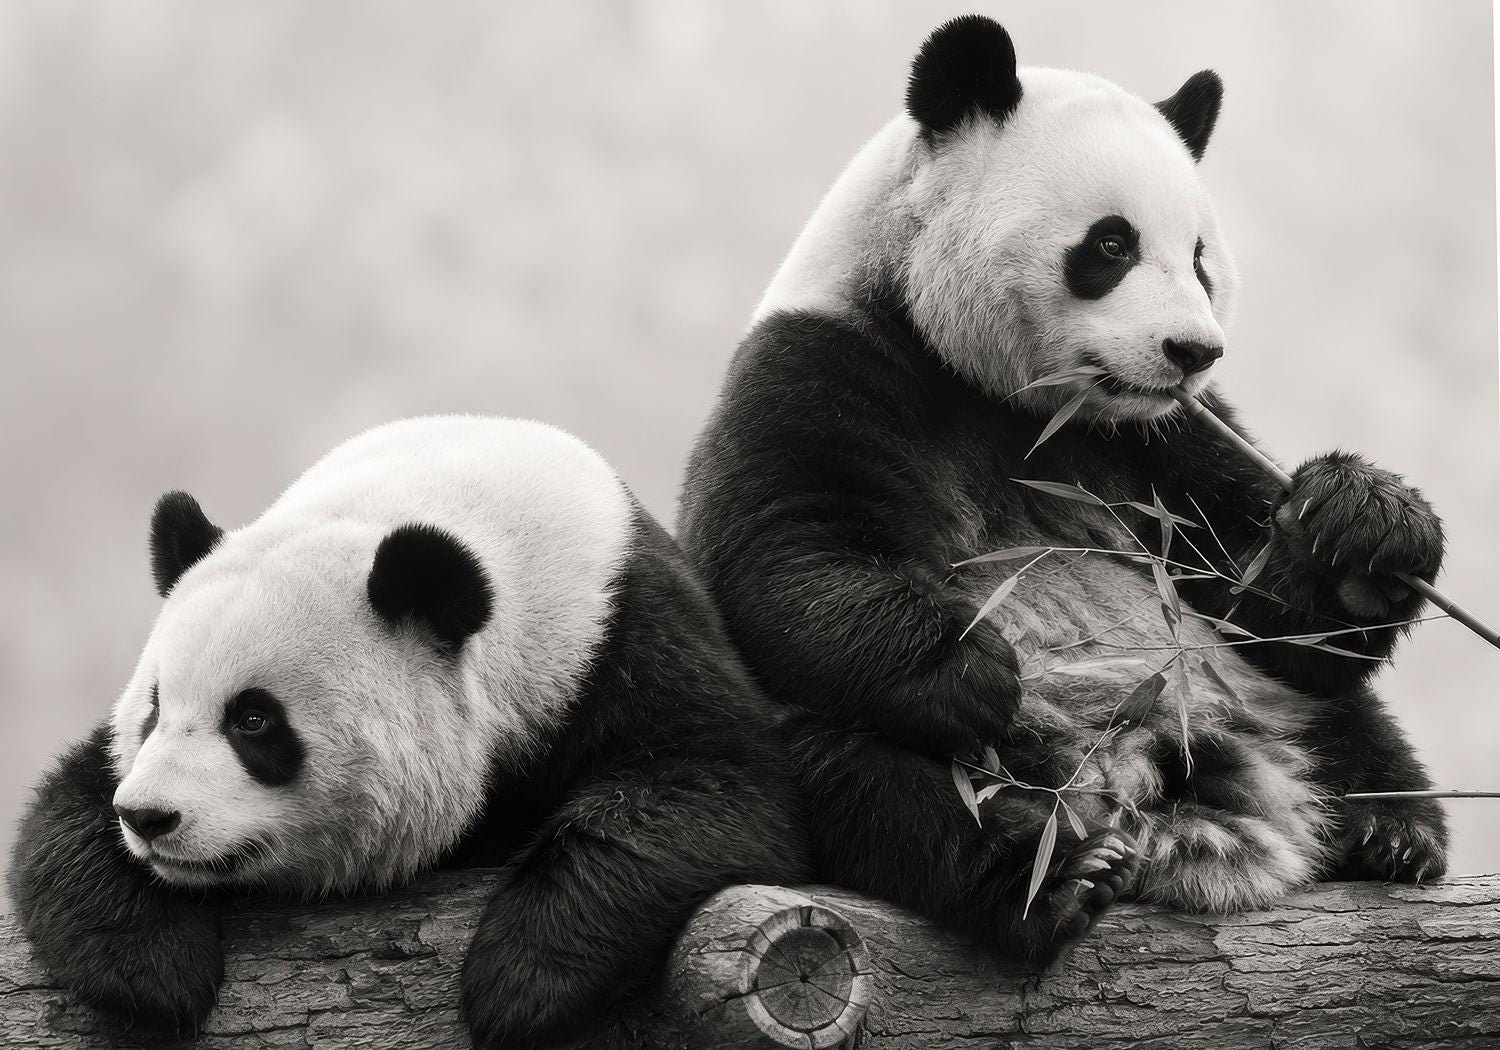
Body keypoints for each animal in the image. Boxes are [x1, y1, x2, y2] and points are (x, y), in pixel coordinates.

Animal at [8, 415, 810, 1048]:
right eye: (153, 709)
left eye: (254, 720)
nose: (149, 818)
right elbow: (70, 806)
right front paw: (149, 969)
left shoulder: (621, 638)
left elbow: (708, 785)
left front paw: (519, 983)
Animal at [678, 15, 1446, 964]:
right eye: (1111, 245)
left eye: (1200, 258)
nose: (1193, 350)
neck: (1021, 400)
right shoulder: (823, 364)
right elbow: (786, 555)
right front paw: (967, 660)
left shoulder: (1164, 437)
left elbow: (1264, 602)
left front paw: (1366, 526)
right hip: (936, 753)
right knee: (866, 770)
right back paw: (1049, 873)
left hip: (1253, 699)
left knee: (1339, 715)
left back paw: (1389, 833)